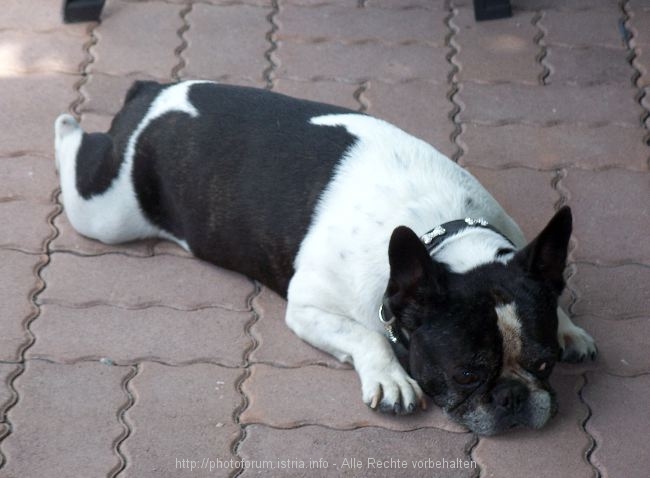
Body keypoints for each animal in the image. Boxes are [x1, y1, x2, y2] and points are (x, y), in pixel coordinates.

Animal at [53, 81, 596, 434]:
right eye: (466, 373)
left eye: (544, 364)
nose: (513, 395)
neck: (441, 231)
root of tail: (152, 91)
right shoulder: (309, 307)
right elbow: (366, 335)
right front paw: (391, 378)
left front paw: (570, 327)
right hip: (105, 213)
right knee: (77, 160)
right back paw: (65, 123)